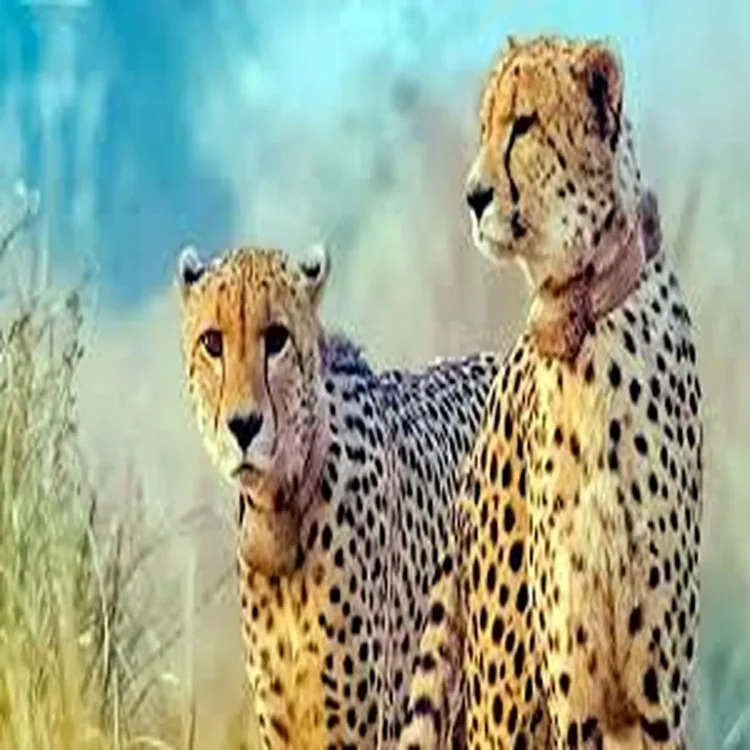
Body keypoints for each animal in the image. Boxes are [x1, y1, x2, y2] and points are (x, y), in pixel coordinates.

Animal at [399, 34, 704, 749]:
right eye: (485, 126)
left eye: (525, 125)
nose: (473, 196)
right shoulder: (574, 700)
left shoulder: (658, 698)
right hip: (504, 703)